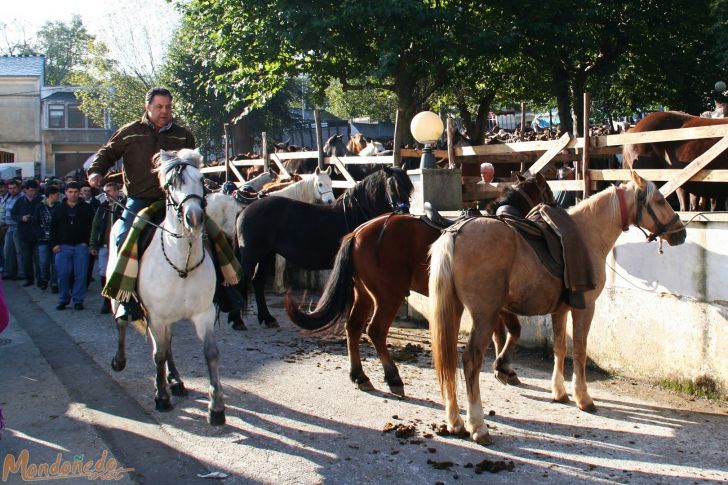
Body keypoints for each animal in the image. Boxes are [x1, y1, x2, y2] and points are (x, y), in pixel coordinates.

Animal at [108, 147, 225, 424]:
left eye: (201, 180)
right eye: (172, 183)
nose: (194, 217)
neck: (181, 262)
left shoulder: (203, 313)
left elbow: (210, 353)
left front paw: (216, 407)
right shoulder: (156, 316)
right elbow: (158, 354)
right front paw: (161, 397)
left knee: (168, 343)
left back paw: (176, 380)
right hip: (118, 296)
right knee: (121, 323)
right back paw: (120, 360)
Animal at [236, 164, 412, 328]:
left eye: (409, 189)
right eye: (393, 187)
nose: (405, 213)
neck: (355, 213)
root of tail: (245, 210)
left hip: (265, 255)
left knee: (257, 282)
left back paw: (267, 318)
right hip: (252, 257)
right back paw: (238, 320)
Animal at [282, 172, 552, 396]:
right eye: (547, 193)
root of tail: (357, 233)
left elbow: (499, 333)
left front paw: (502, 367)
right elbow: (513, 330)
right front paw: (504, 367)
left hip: (364, 294)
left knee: (354, 327)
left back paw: (359, 376)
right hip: (388, 296)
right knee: (375, 331)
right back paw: (393, 378)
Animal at [426, 172, 684, 444]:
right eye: (660, 201)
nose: (681, 232)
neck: (587, 234)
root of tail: (456, 232)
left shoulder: (560, 310)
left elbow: (560, 348)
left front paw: (559, 392)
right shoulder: (585, 308)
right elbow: (579, 351)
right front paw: (583, 398)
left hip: (455, 311)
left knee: (449, 360)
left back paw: (455, 421)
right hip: (484, 315)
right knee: (470, 360)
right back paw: (478, 424)